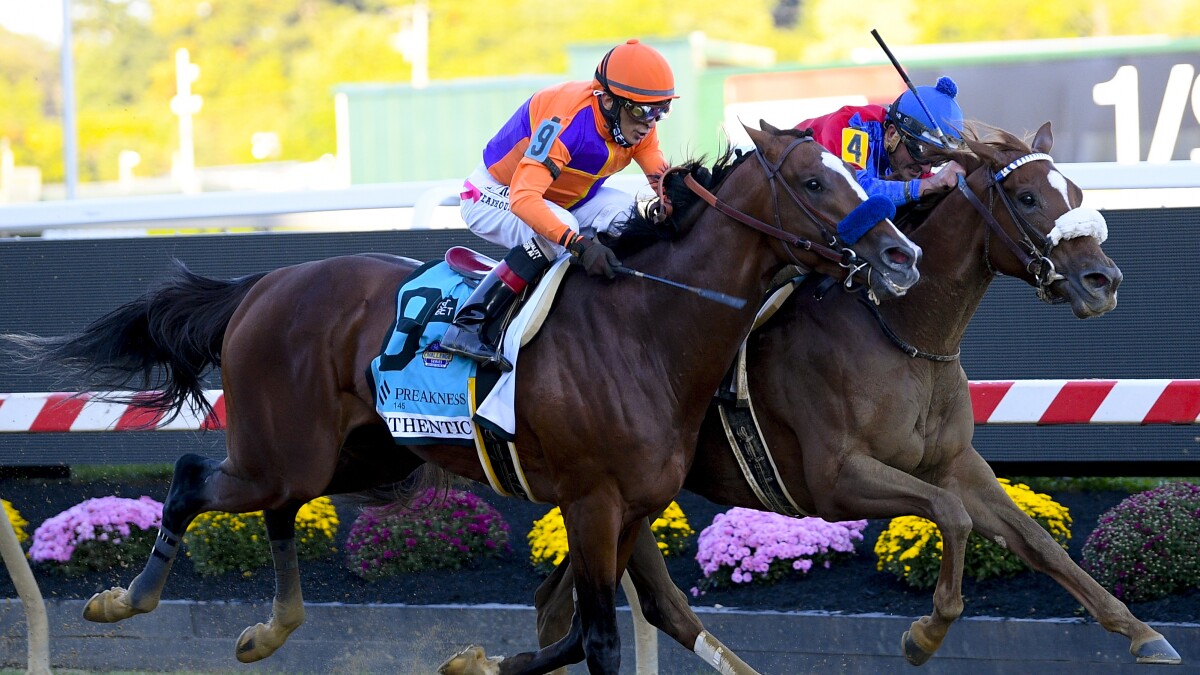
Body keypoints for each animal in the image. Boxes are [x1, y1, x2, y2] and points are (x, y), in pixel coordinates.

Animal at [2, 123, 916, 667]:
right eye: (814, 182)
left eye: (854, 168)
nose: (901, 253)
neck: (650, 326)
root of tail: (264, 283)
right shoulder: (591, 500)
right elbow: (595, 634)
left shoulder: (632, 506)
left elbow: (574, 629)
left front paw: (475, 657)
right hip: (285, 446)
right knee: (197, 478)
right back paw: (127, 598)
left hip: (359, 455)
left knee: (279, 506)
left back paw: (270, 627)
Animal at [535, 123, 1180, 667]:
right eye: (1025, 197)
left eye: (1074, 190)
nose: (1103, 281)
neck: (905, 335)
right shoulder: (836, 480)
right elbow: (952, 517)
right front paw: (924, 635)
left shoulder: (955, 462)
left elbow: (1038, 542)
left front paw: (1142, 632)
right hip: (608, 492)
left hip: (624, 498)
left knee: (571, 601)